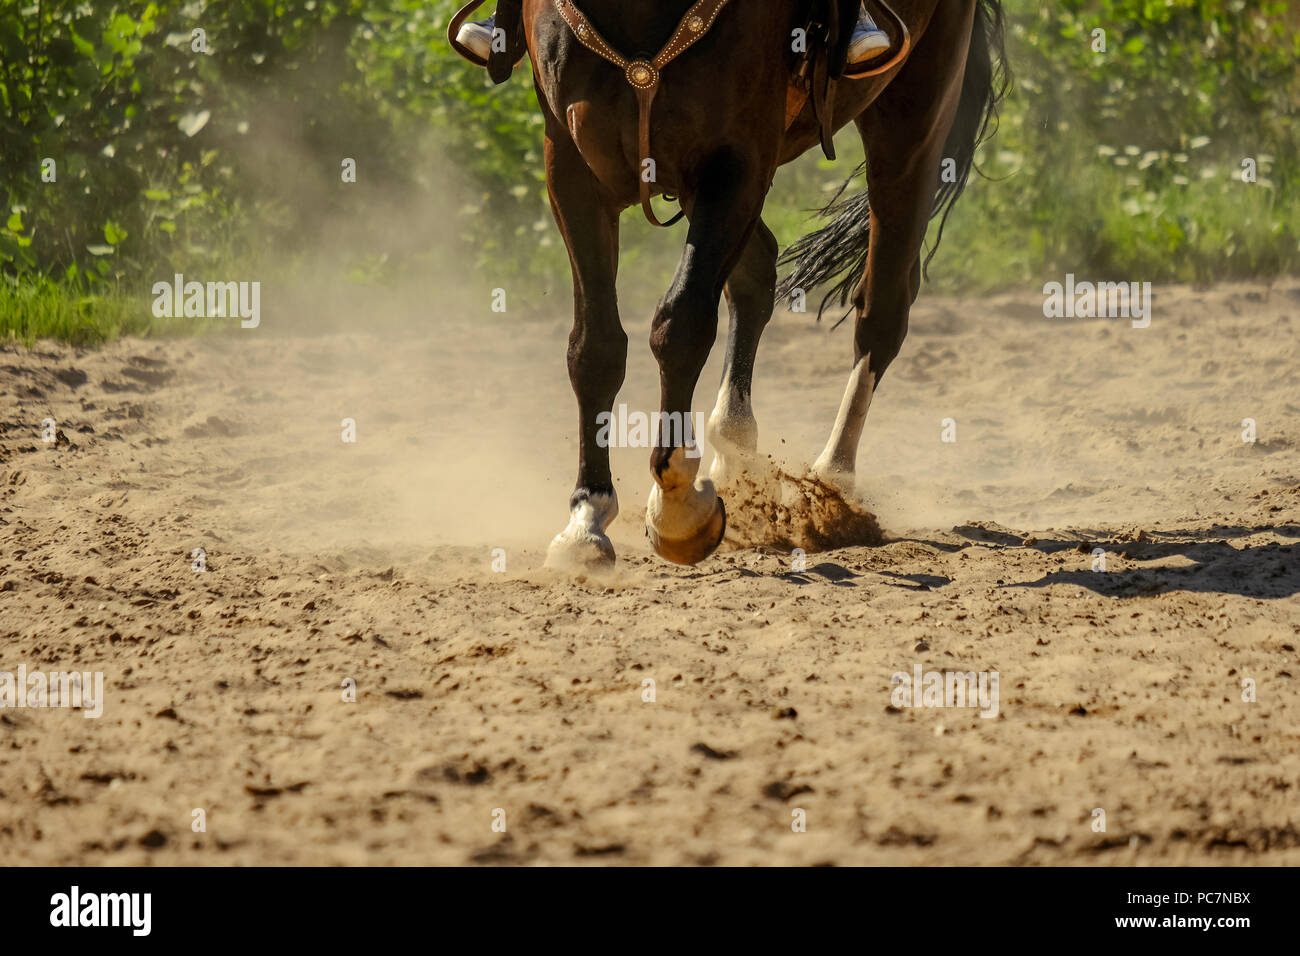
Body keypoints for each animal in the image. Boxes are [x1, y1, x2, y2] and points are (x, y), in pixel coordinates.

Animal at [511, 0, 1008, 568]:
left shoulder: (737, 161)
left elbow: (680, 324)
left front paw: (679, 507)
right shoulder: (571, 164)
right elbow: (594, 347)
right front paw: (586, 520)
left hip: (913, 117)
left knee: (882, 307)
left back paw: (831, 482)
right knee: (758, 272)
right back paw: (735, 447)